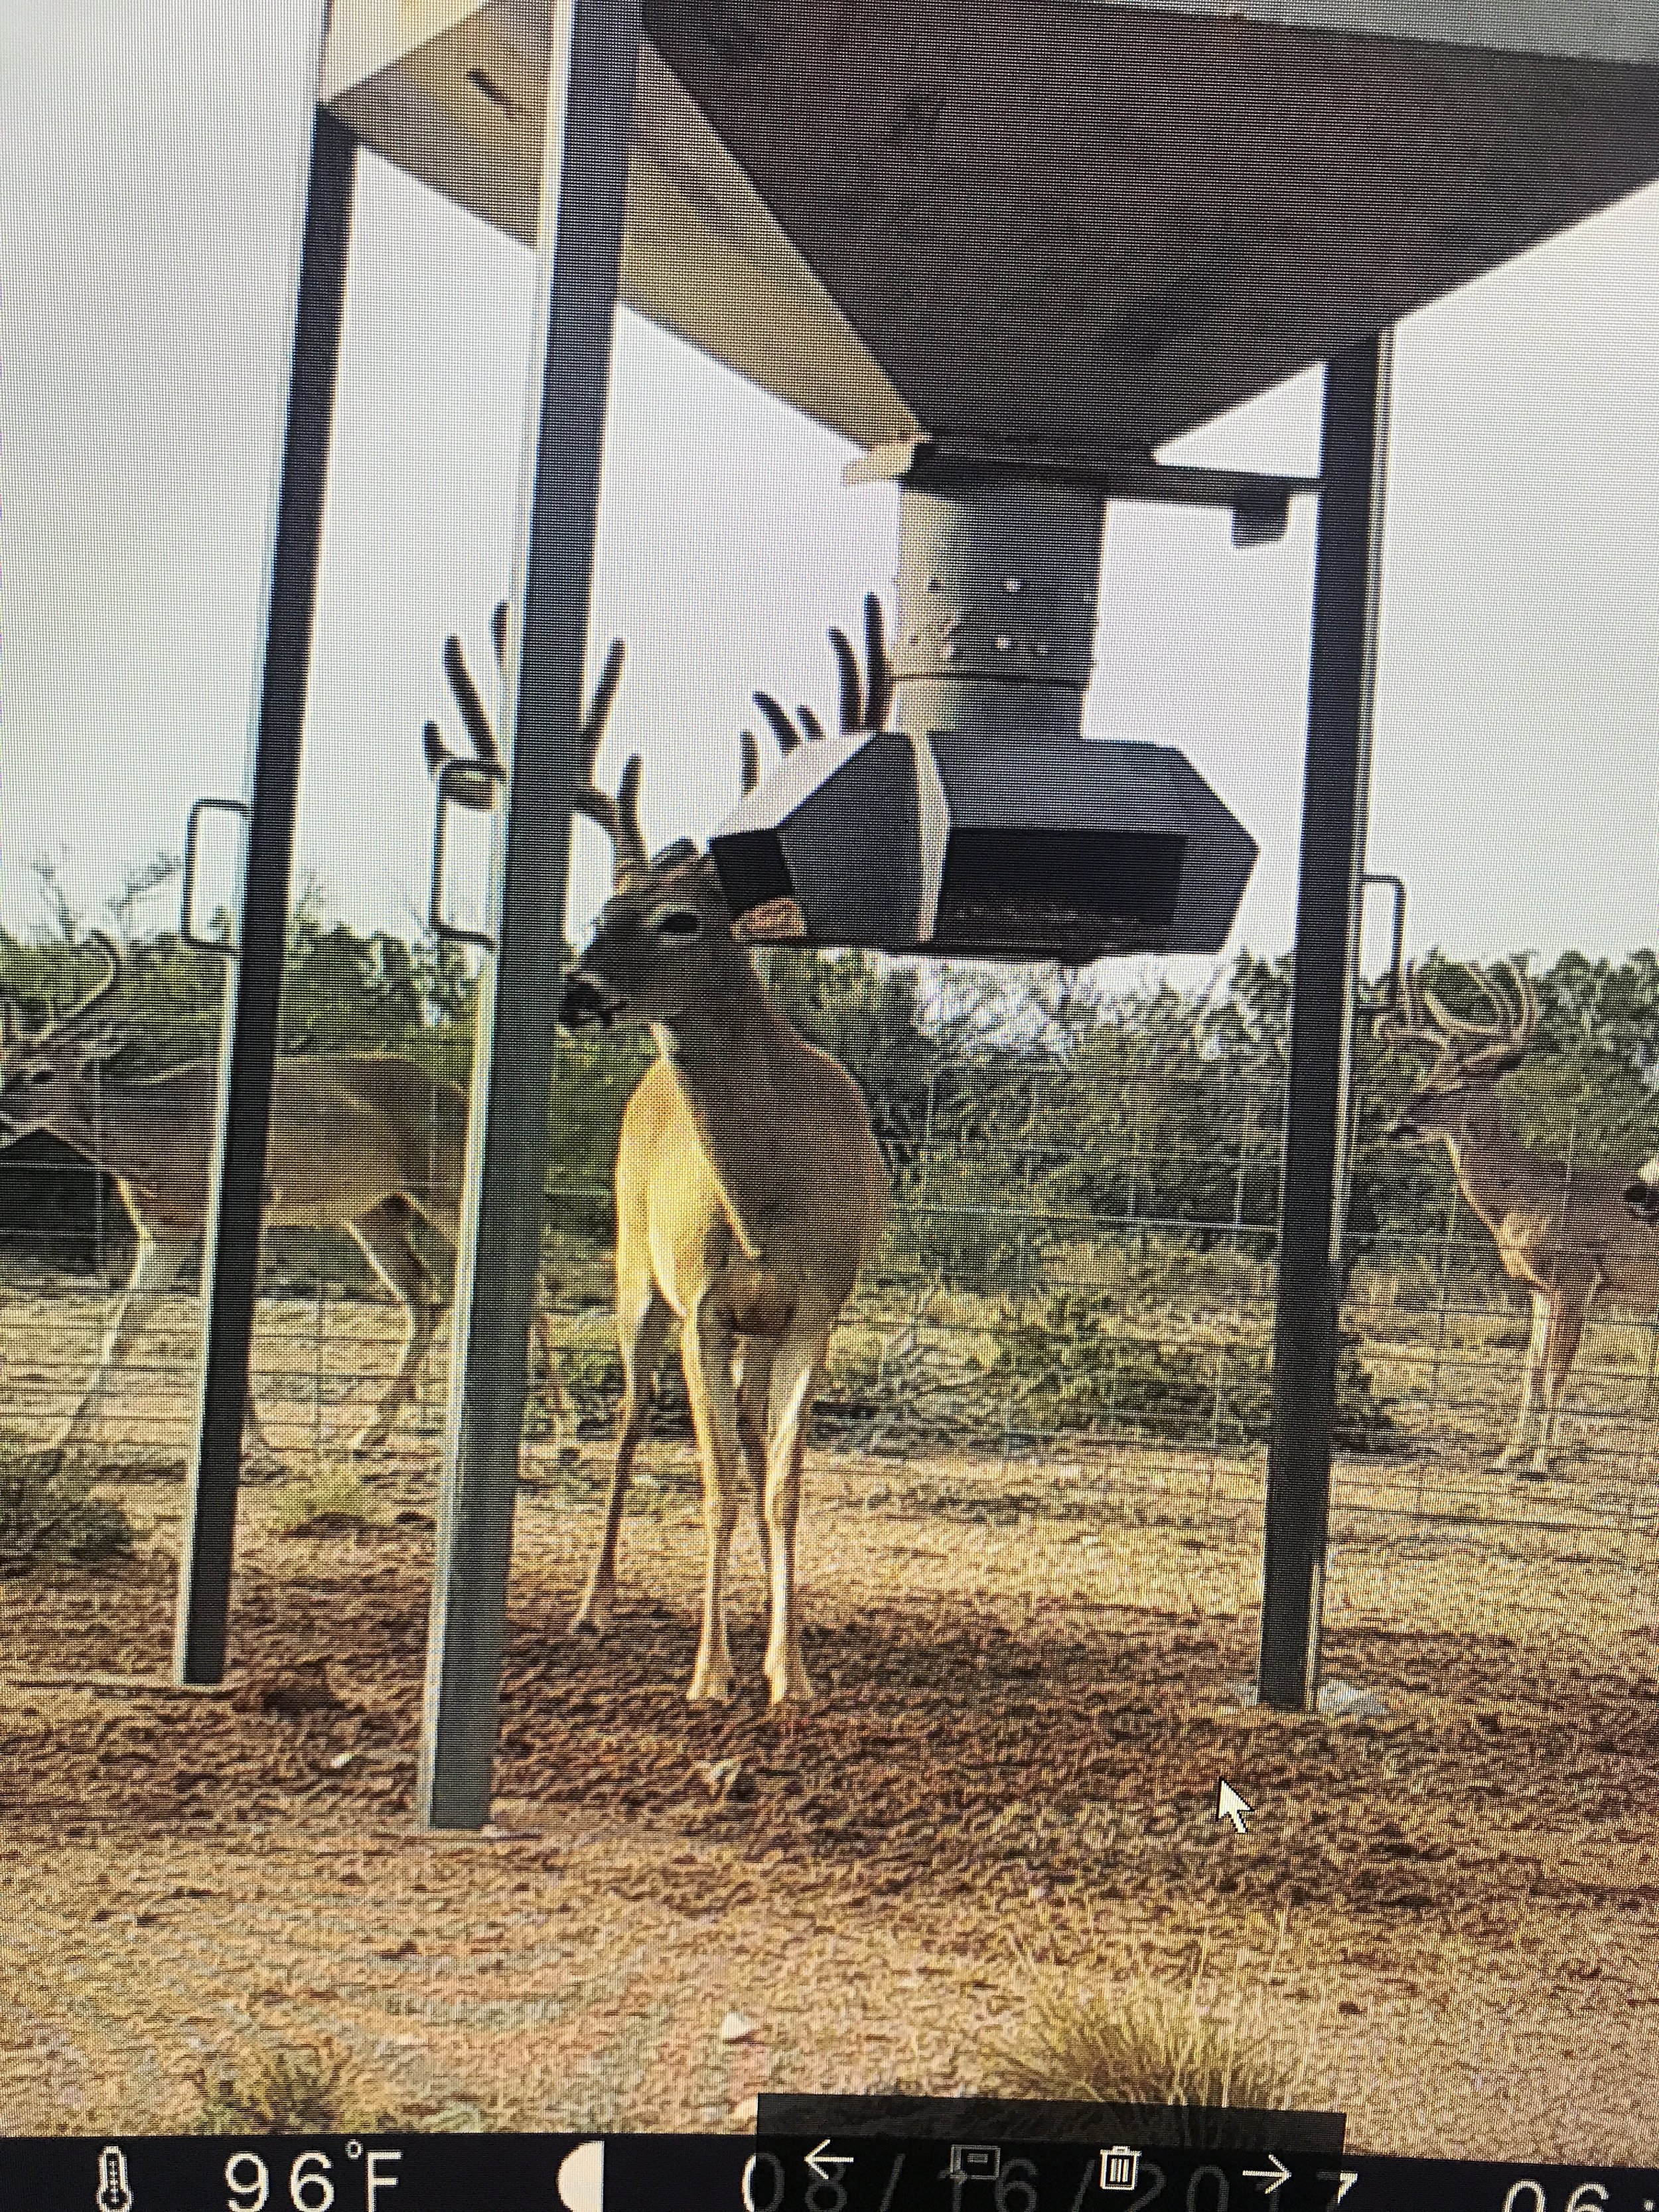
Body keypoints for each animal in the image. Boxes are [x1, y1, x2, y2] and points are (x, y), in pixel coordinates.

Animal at [430, 598, 890, 1701]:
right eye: (601, 910)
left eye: (681, 917)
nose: (575, 990)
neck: (766, 1197)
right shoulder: (703, 1305)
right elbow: (717, 1484)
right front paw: (711, 1671)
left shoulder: (815, 1306)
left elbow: (781, 1484)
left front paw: (791, 1670)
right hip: (636, 1278)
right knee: (637, 1420)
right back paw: (595, 1603)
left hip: (746, 1327)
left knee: (749, 1435)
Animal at [1380, 958, 1659, 1479]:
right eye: (1429, 1074)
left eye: (1462, 1085)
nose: (1397, 1126)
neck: (1525, 1199)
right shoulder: (1539, 1288)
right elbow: (1530, 1370)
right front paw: (1507, 1454)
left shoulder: (1577, 1277)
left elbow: (1555, 1373)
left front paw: (1541, 1461)